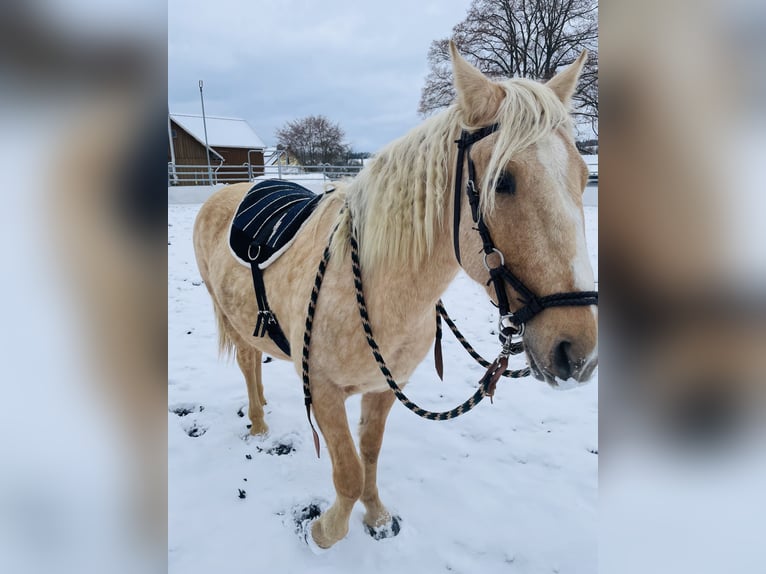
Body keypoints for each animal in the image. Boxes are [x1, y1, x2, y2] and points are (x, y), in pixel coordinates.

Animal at [192, 43, 597, 549]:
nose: (578, 352)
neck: (378, 285)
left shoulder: (385, 386)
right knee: (249, 363)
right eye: (504, 182)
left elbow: (369, 454)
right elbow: (346, 473)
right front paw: (323, 532)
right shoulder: (322, 392)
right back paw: (261, 426)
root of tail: (225, 191)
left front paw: (377, 517)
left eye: (583, 177)